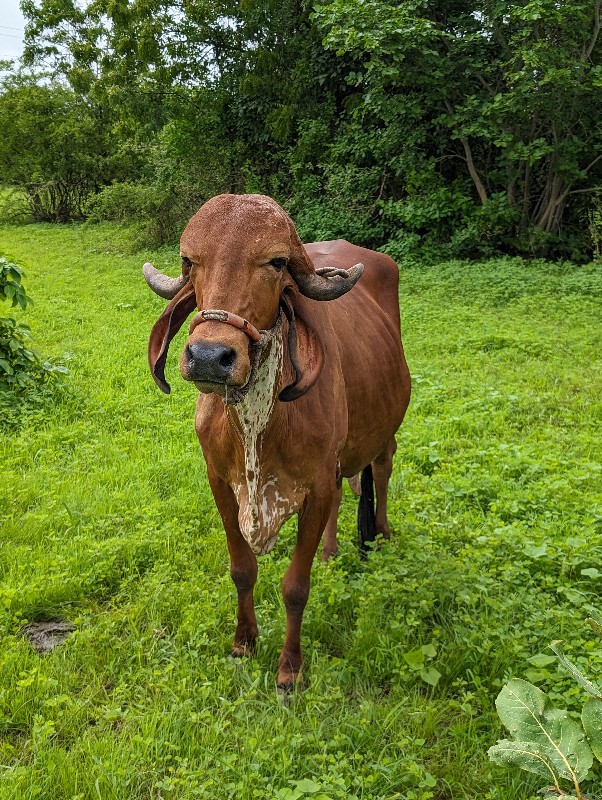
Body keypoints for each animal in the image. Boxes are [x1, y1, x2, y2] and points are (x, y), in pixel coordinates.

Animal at [144, 194, 408, 688]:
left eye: (277, 262)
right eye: (191, 261)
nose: (209, 357)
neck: (257, 425)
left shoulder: (316, 484)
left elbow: (295, 588)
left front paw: (290, 670)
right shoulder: (220, 482)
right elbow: (242, 569)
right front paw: (243, 644)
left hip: (388, 429)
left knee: (380, 474)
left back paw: (380, 536)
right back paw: (330, 553)